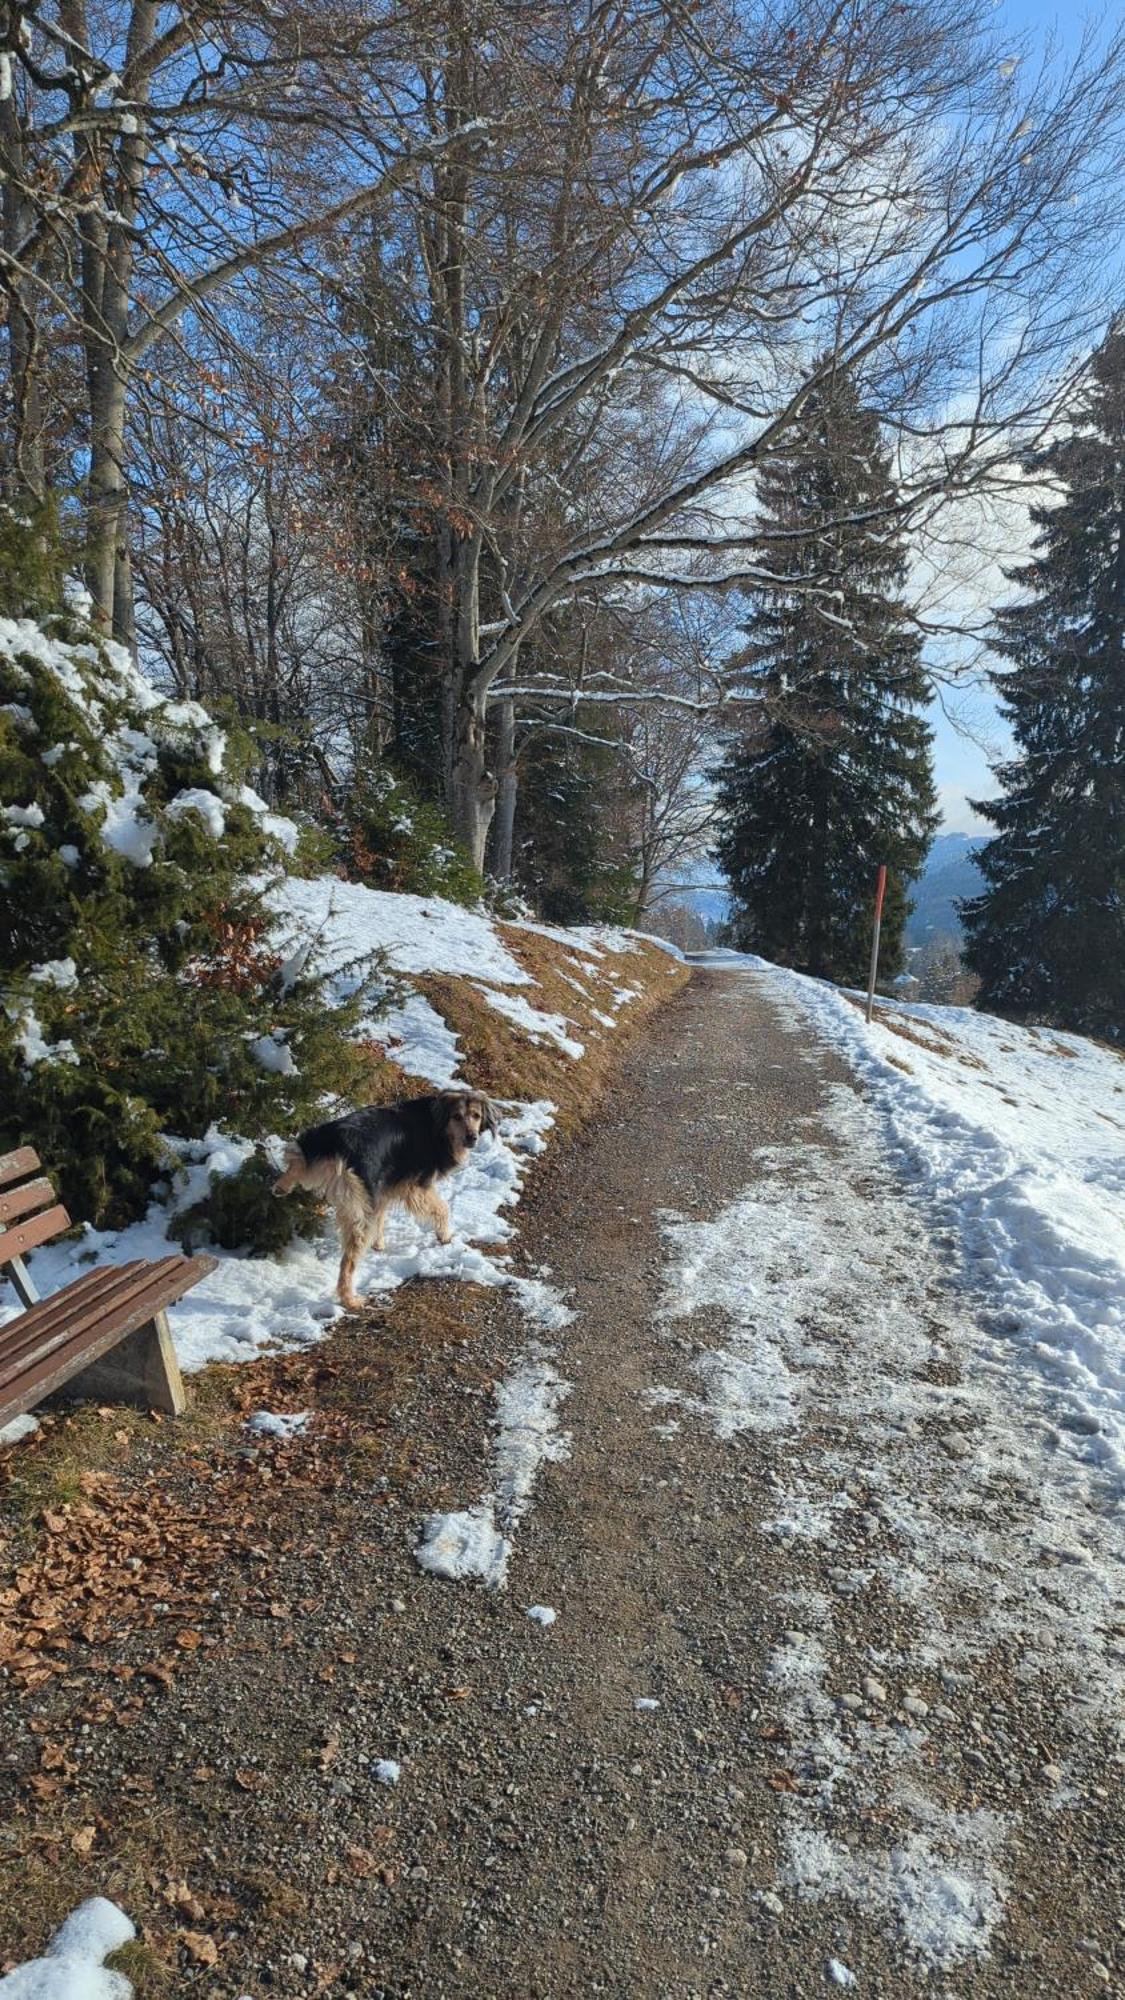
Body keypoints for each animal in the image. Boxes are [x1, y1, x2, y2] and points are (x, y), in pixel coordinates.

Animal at [272, 1096, 494, 1312]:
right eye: (457, 1117)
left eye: (476, 1116)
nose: (472, 1137)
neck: (435, 1123)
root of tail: (337, 1144)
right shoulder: (416, 1187)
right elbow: (442, 1208)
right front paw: (445, 1236)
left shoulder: (383, 1188)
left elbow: (380, 1216)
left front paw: (378, 1244)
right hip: (360, 1203)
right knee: (349, 1261)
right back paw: (349, 1299)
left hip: (316, 1148)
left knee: (296, 1158)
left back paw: (281, 1186)